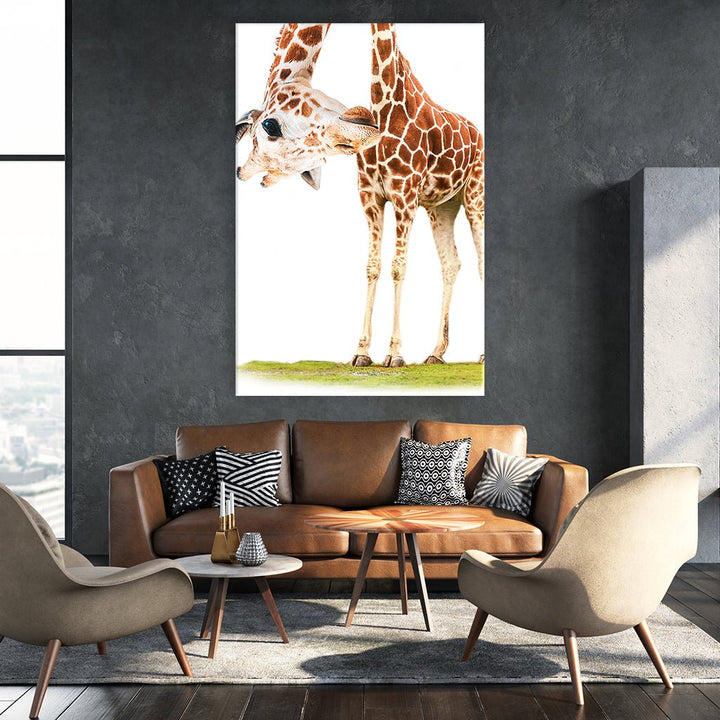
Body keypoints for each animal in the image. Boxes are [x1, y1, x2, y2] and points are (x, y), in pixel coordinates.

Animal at [351, 23, 484, 367]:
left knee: (480, 261)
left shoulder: (405, 194)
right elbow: (372, 267)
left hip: (476, 197)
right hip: (443, 207)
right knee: (451, 263)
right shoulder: (370, 197)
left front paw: (394, 353)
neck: (384, 105)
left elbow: (398, 267)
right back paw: (436, 351)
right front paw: (361, 352)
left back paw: (481, 354)